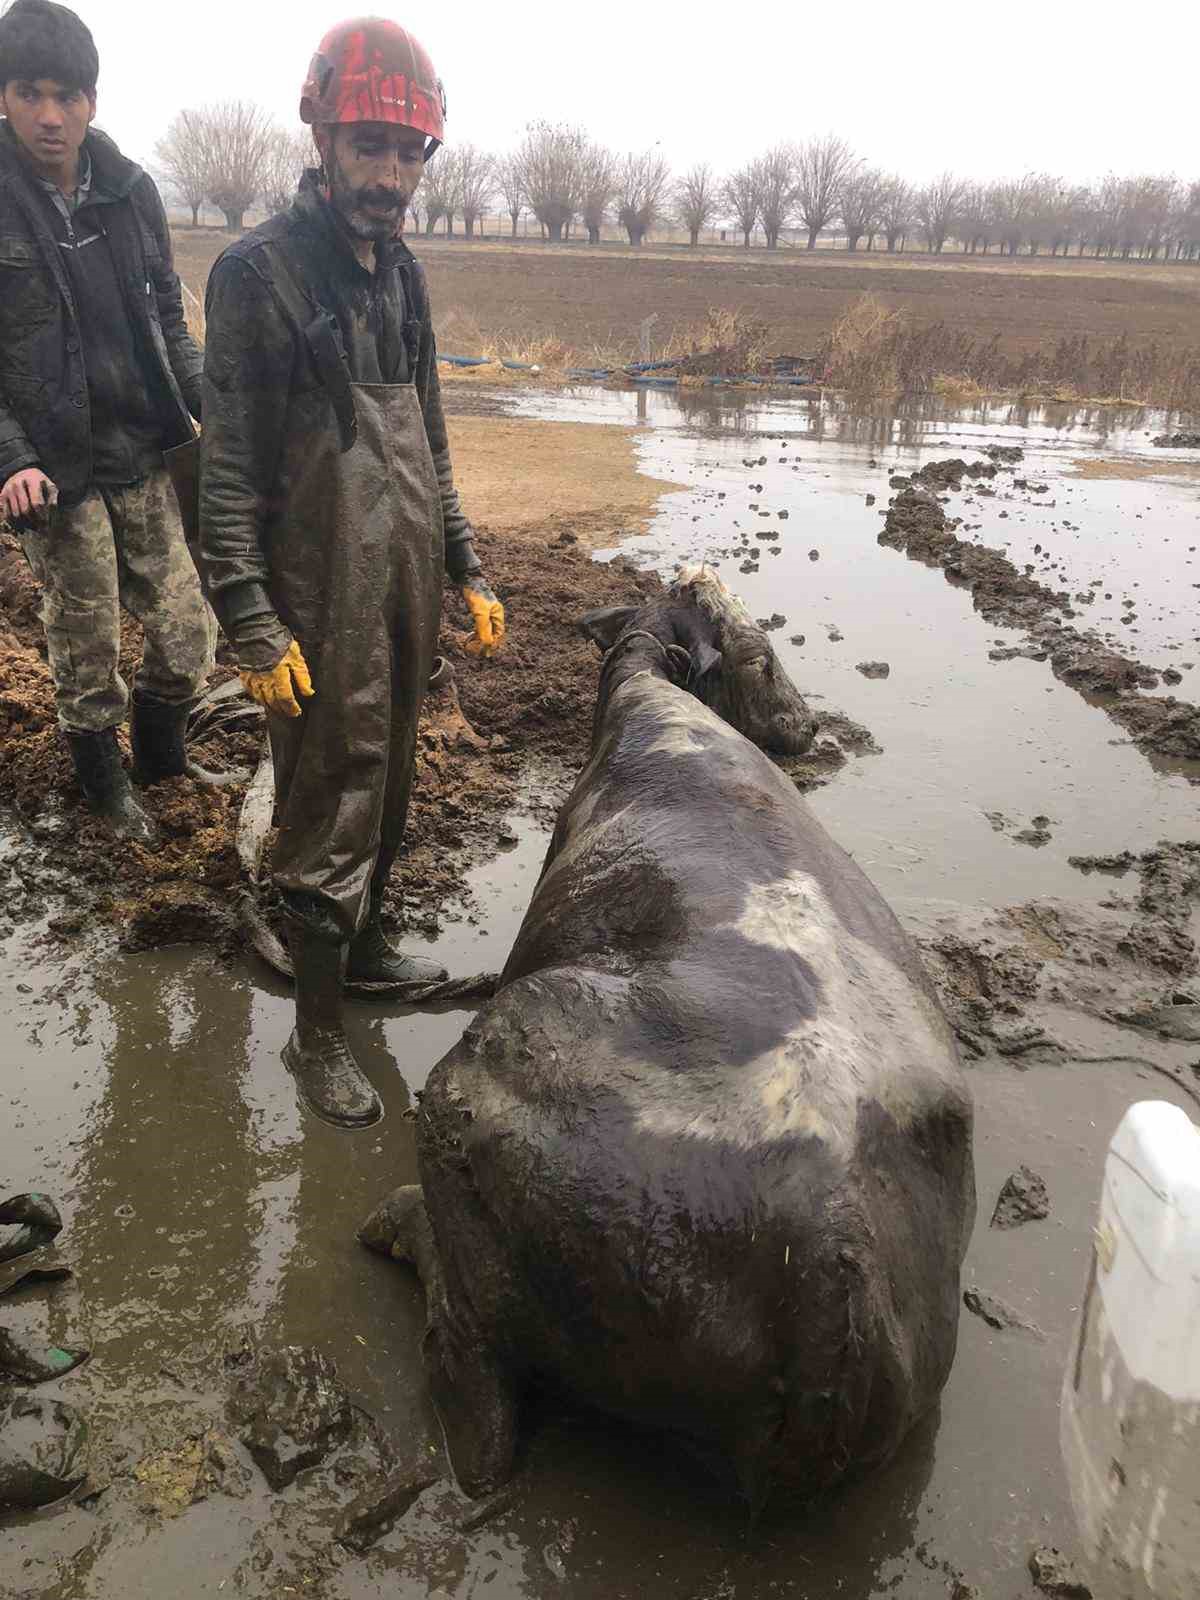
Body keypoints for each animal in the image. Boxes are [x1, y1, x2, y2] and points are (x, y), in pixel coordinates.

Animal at [364, 572, 979, 1510]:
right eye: (762, 657)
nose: (809, 728)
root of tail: (835, 1257)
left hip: (471, 1083)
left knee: (474, 1394)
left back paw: (391, 1225)